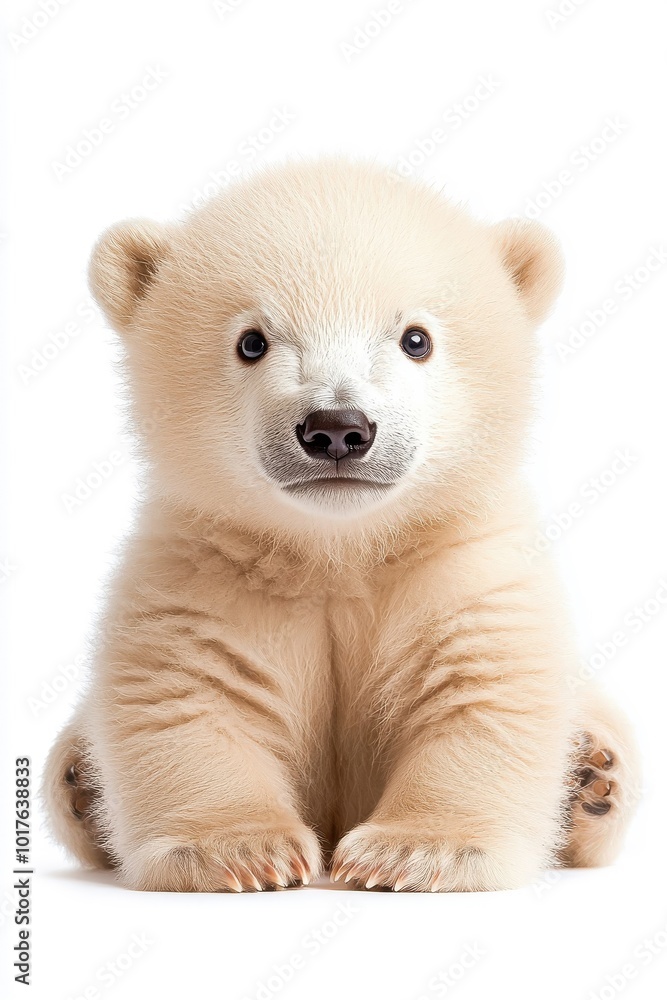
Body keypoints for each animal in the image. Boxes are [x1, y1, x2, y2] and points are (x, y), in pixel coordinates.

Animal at [43, 158, 640, 892]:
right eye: (252, 341)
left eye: (416, 339)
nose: (336, 428)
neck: (337, 550)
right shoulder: (203, 566)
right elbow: (188, 693)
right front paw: (240, 851)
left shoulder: (460, 560)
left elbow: (481, 689)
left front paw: (419, 852)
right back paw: (80, 779)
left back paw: (589, 775)